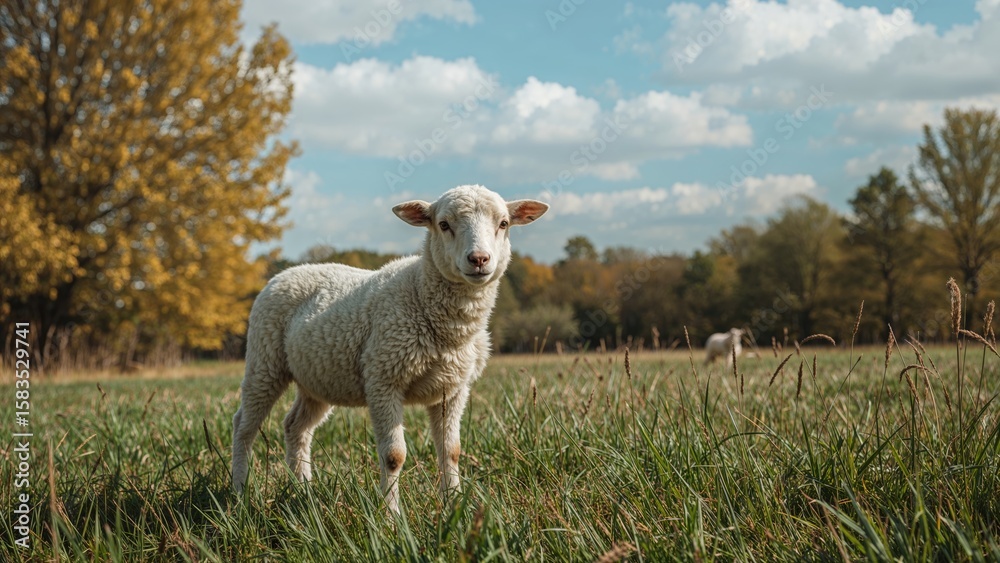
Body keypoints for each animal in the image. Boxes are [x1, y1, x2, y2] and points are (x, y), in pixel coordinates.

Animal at [230, 184, 548, 514]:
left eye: (504, 224)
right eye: (443, 224)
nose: (479, 259)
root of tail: (289, 272)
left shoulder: (453, 389)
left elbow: (451, 451)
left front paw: (454, 505)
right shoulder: (384, 378)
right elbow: (394, 456)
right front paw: (391, 515)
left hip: (316, 379)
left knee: (296, 427)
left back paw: (303, 490)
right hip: (264, 359)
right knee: (243, 426)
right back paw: (240, 492)